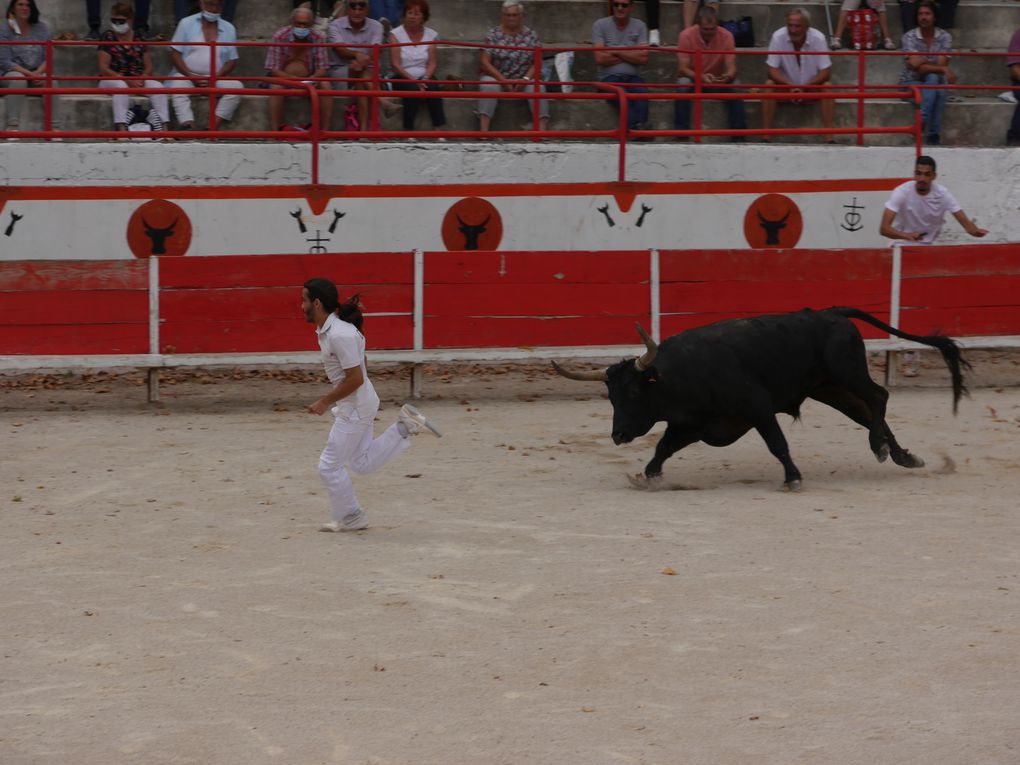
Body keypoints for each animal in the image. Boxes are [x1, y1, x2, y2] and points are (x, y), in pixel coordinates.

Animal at [554, 308, 966, 491]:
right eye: (610, 396)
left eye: (634, 391)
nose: (618, 435)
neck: (682, 373)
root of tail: (830, 313)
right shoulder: (692, 424)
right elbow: (663, 448)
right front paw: (650, 476)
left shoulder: (758, 407)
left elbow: (777, 443)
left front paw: (793, 477)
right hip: (830, 389)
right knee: (868, 413)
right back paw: (902, 455)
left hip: (848, 374)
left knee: (879, 397)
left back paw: (880, 448)